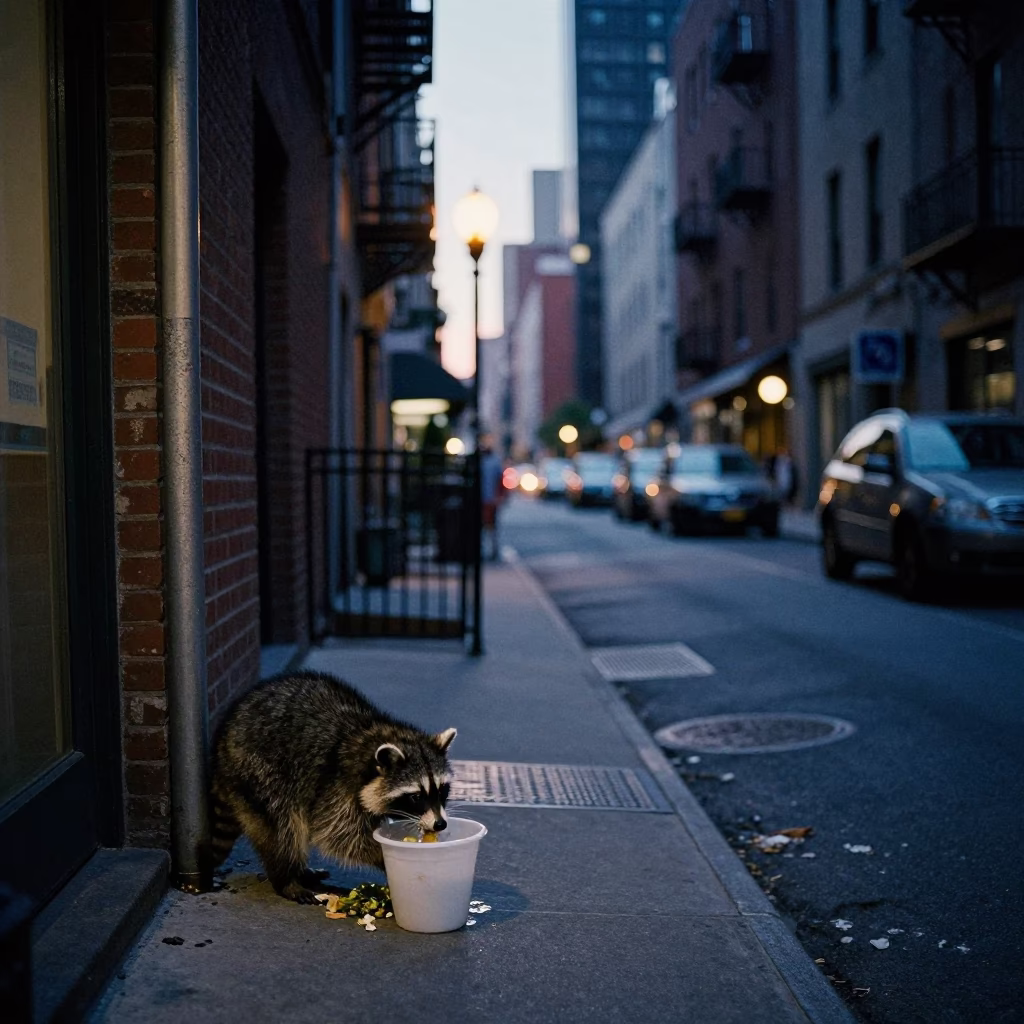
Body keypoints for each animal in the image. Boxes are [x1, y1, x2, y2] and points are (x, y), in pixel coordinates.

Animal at [208, 669, 456, 903]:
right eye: (416, 796)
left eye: (442, 790)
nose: (440, 824)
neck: (372, 733)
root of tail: (221, 747)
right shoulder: (337, 784)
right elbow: (337, 835)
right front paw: (382, 856)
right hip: (259, 772)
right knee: (283, 827)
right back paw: (286, 878)